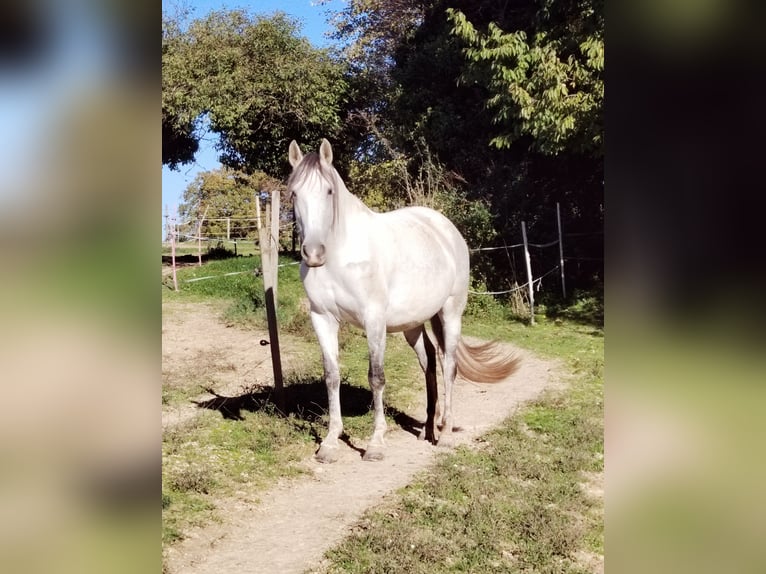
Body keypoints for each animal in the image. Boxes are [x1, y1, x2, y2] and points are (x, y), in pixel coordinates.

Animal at [288, 138, 520, 464]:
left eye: (329, 191)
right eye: (294, 193)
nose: (313, 253)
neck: (340, 256)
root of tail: (446, 229)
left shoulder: (374, 320)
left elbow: (376, 377)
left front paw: (376, 444)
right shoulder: (322, 318)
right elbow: (331, 377)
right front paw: (331, 442)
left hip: (451, 313)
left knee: (449, 366)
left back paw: (445, 434)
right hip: (413, 324)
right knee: (429, 362)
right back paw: (428, 428)